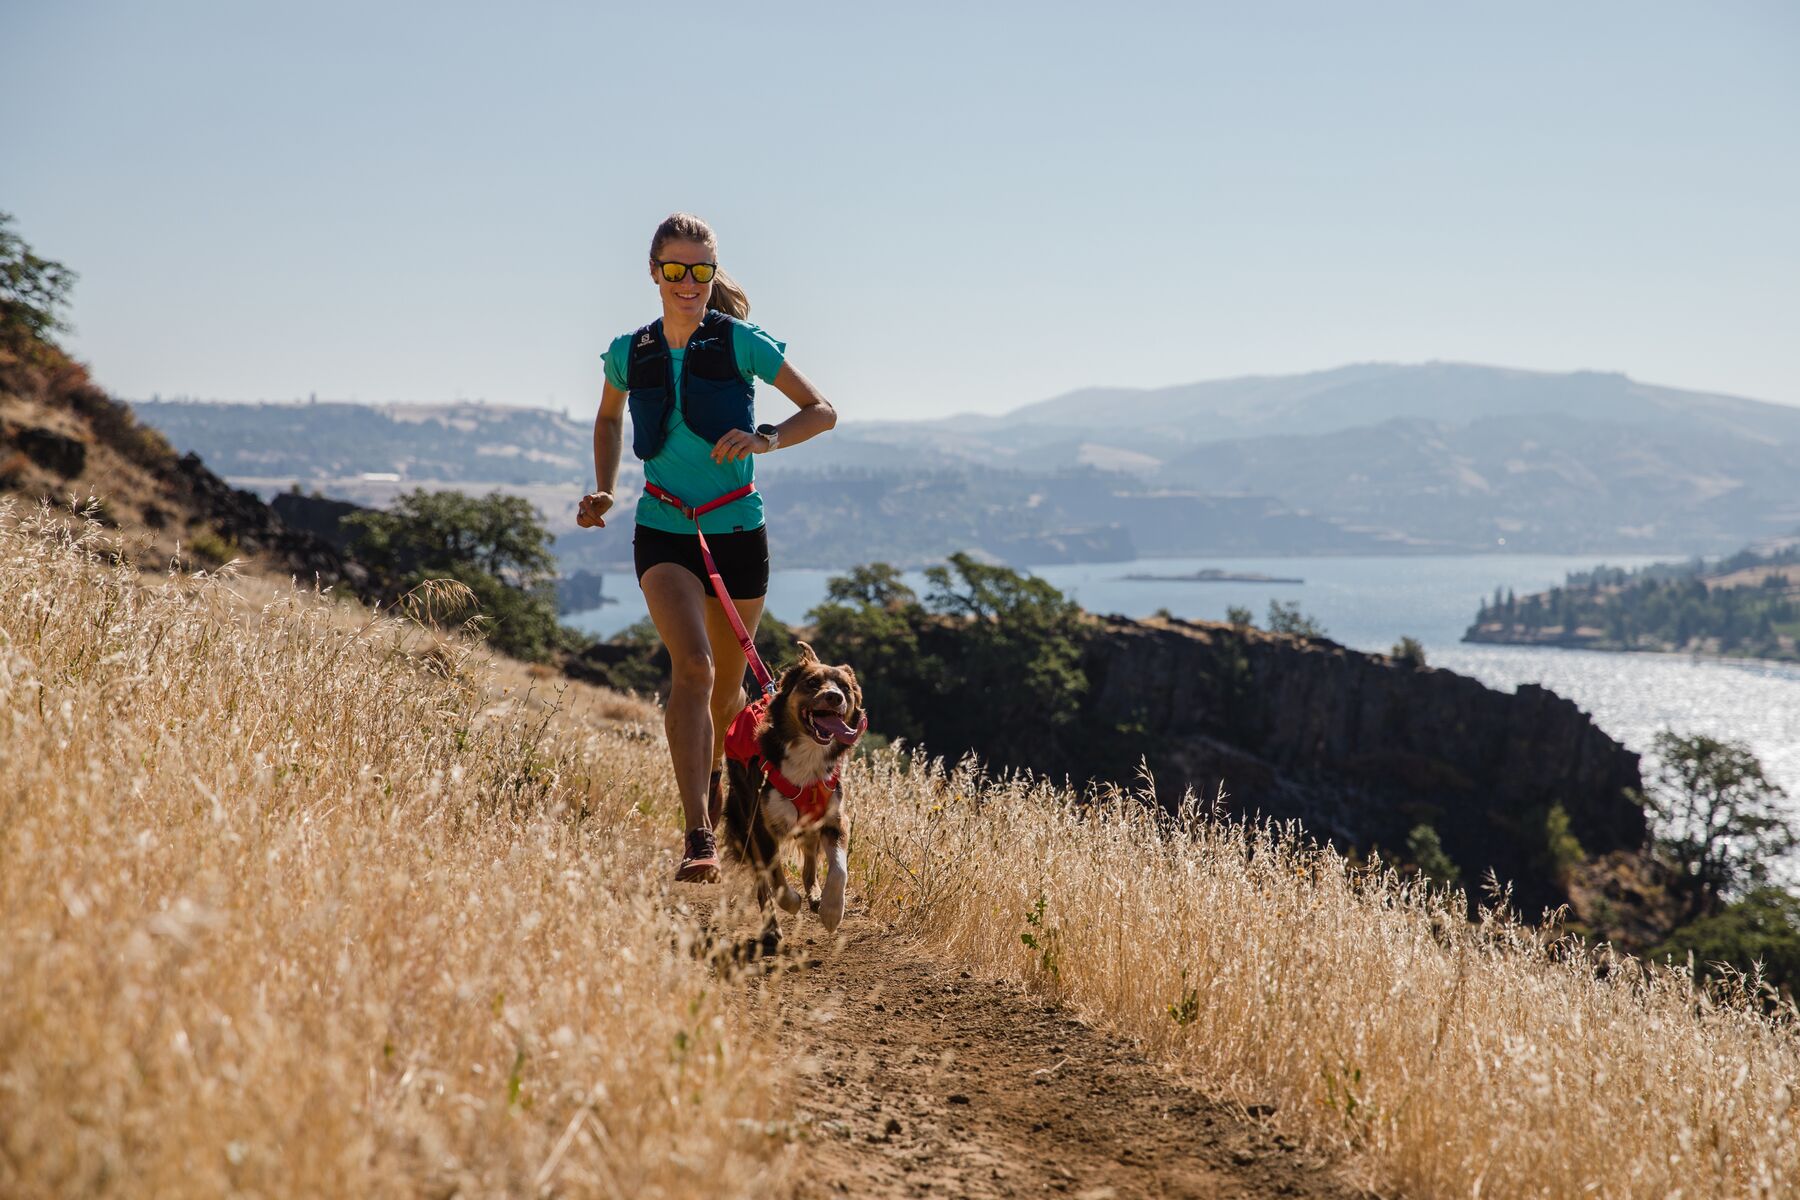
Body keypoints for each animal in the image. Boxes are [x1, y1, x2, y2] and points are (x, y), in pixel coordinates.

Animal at [723, 644, 871, 949]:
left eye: (845, 688)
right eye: (812, 683)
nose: (834, 696)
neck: (808, 755)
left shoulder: (834, 819)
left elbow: (839, 870)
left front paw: (831, 911)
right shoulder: (762, 826)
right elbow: (775, 876)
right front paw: (791, 902)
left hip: (809, 825)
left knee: (810, 860)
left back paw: (815, 896)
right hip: (745, 822)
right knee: (763, 883)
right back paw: (771, 929)